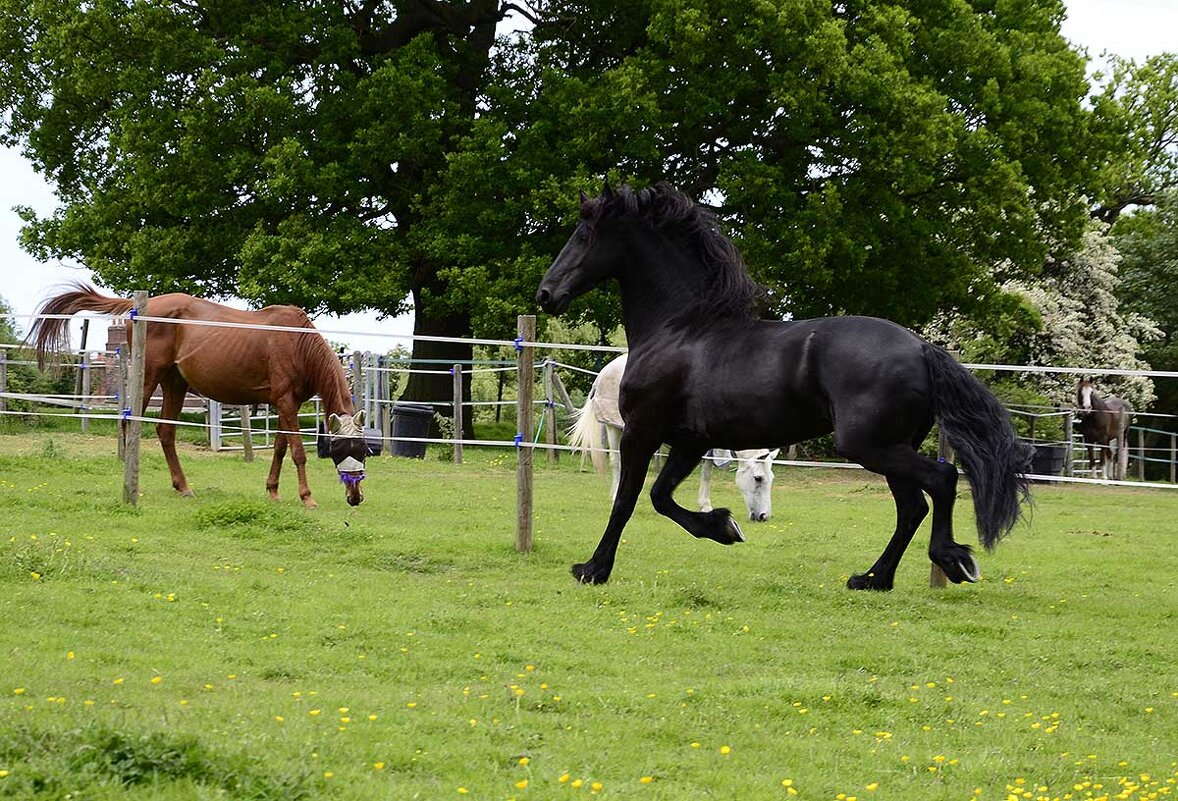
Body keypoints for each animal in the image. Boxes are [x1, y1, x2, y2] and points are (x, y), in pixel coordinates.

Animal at [29, 282, 367, 506]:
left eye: (364, 451)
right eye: (339, 451)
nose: (355, 496)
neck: (297, 343)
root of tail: (138, 308)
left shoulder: (287, 404)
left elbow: (280, 448)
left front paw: (272, 489)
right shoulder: (285, 401)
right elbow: (297, 452)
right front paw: (307, 498)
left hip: (175, 384)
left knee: (165, 432)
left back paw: (183, 486)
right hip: (148, 379)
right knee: (129, 424)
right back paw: (134, 487)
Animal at [570, 353, 782, 523]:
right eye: (758, 478)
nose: (764, 516)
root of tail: (603, 372)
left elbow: (706, 471)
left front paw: (704, 505)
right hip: (614, 426)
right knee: (616, 462)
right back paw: (615, 497)